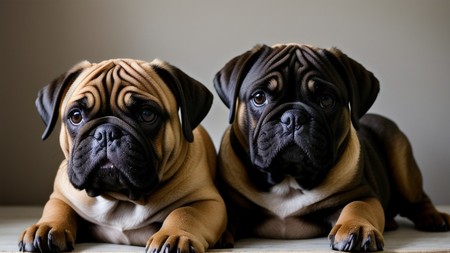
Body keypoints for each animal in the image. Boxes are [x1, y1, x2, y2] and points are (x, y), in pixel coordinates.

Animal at [19, 58, 227, 252]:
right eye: (76, 116)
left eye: (147, 114)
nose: (106, 133)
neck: (121, 198)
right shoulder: (61, 197)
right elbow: (58, 209)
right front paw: (46, 227)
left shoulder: (206, 201)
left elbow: (185, 213)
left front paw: (174, 236)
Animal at [214, 43, 450, 251]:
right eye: (259, 97)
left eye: (326, 100)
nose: (293, 117)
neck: (289, 179)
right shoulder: (232, 202)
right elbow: (224, 211)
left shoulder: (361, 194)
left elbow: (358, 206)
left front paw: (358, 228)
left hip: (401, 158)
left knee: (418, 197)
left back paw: (433, 217)